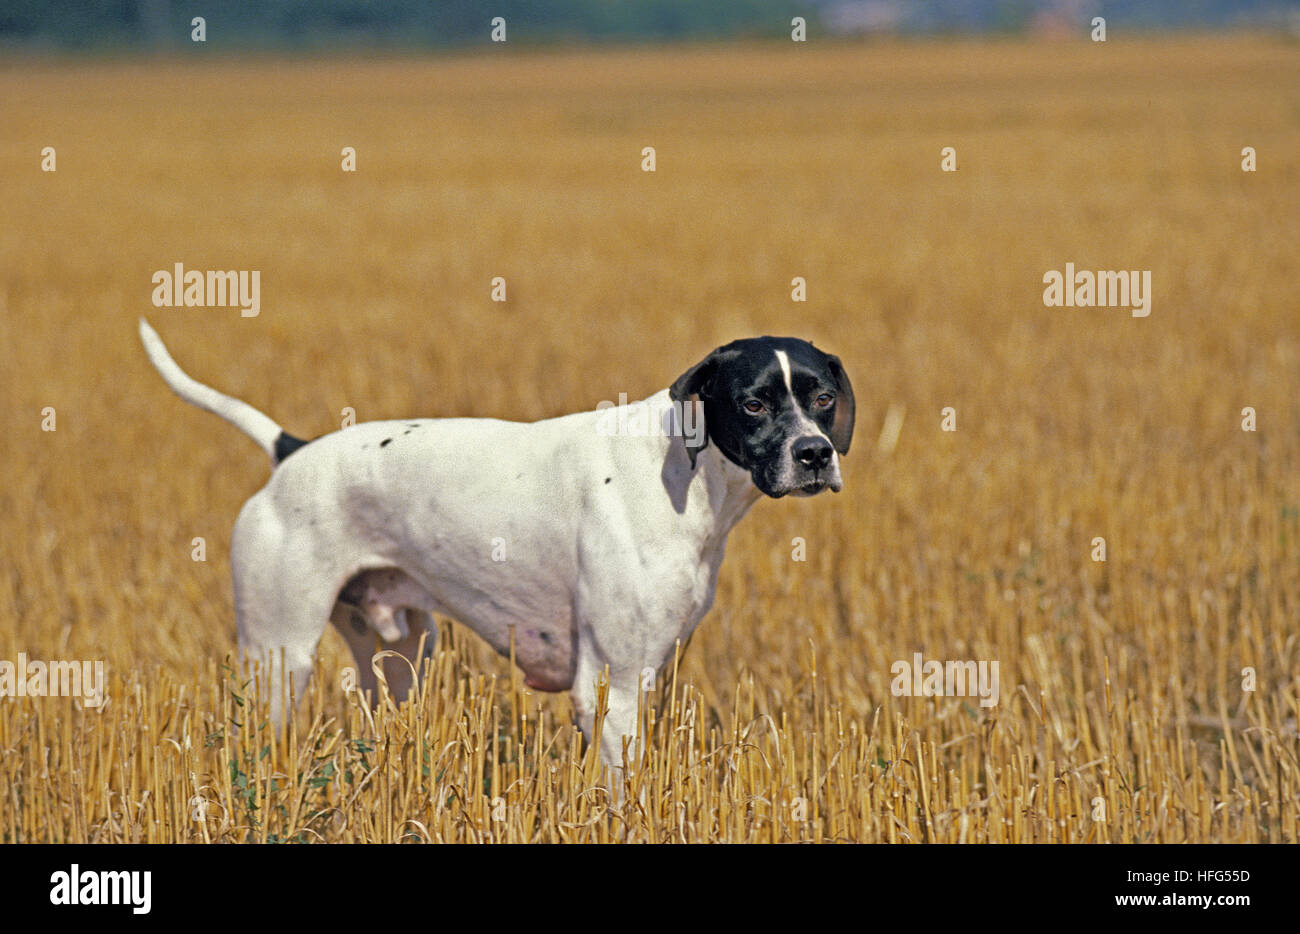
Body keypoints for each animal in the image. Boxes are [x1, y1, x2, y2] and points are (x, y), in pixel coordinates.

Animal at [139, 322, 852, 775]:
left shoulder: (651, 671)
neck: (684, 470)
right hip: (279, 659)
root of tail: (292, 452)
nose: (815, 454)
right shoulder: (610, 684)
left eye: (821, 397)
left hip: (402, 657)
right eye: (754, 404)